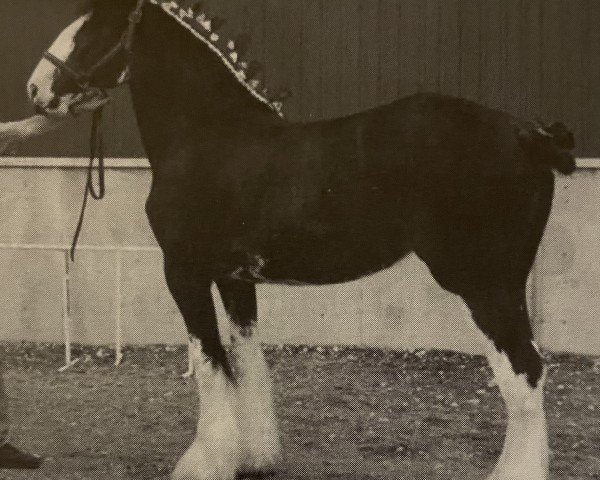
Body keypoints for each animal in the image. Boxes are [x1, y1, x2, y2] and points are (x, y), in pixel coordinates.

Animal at [28, 1, 576, 478]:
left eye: (93, 28)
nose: (36, 89)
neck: (210, 136)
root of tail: (532, 135)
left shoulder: (184, 272)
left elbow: (209, 363)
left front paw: (204, 464)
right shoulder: (234, 279)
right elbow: (244, 359)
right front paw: (255, 457)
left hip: (485, 284)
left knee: (524, 374)